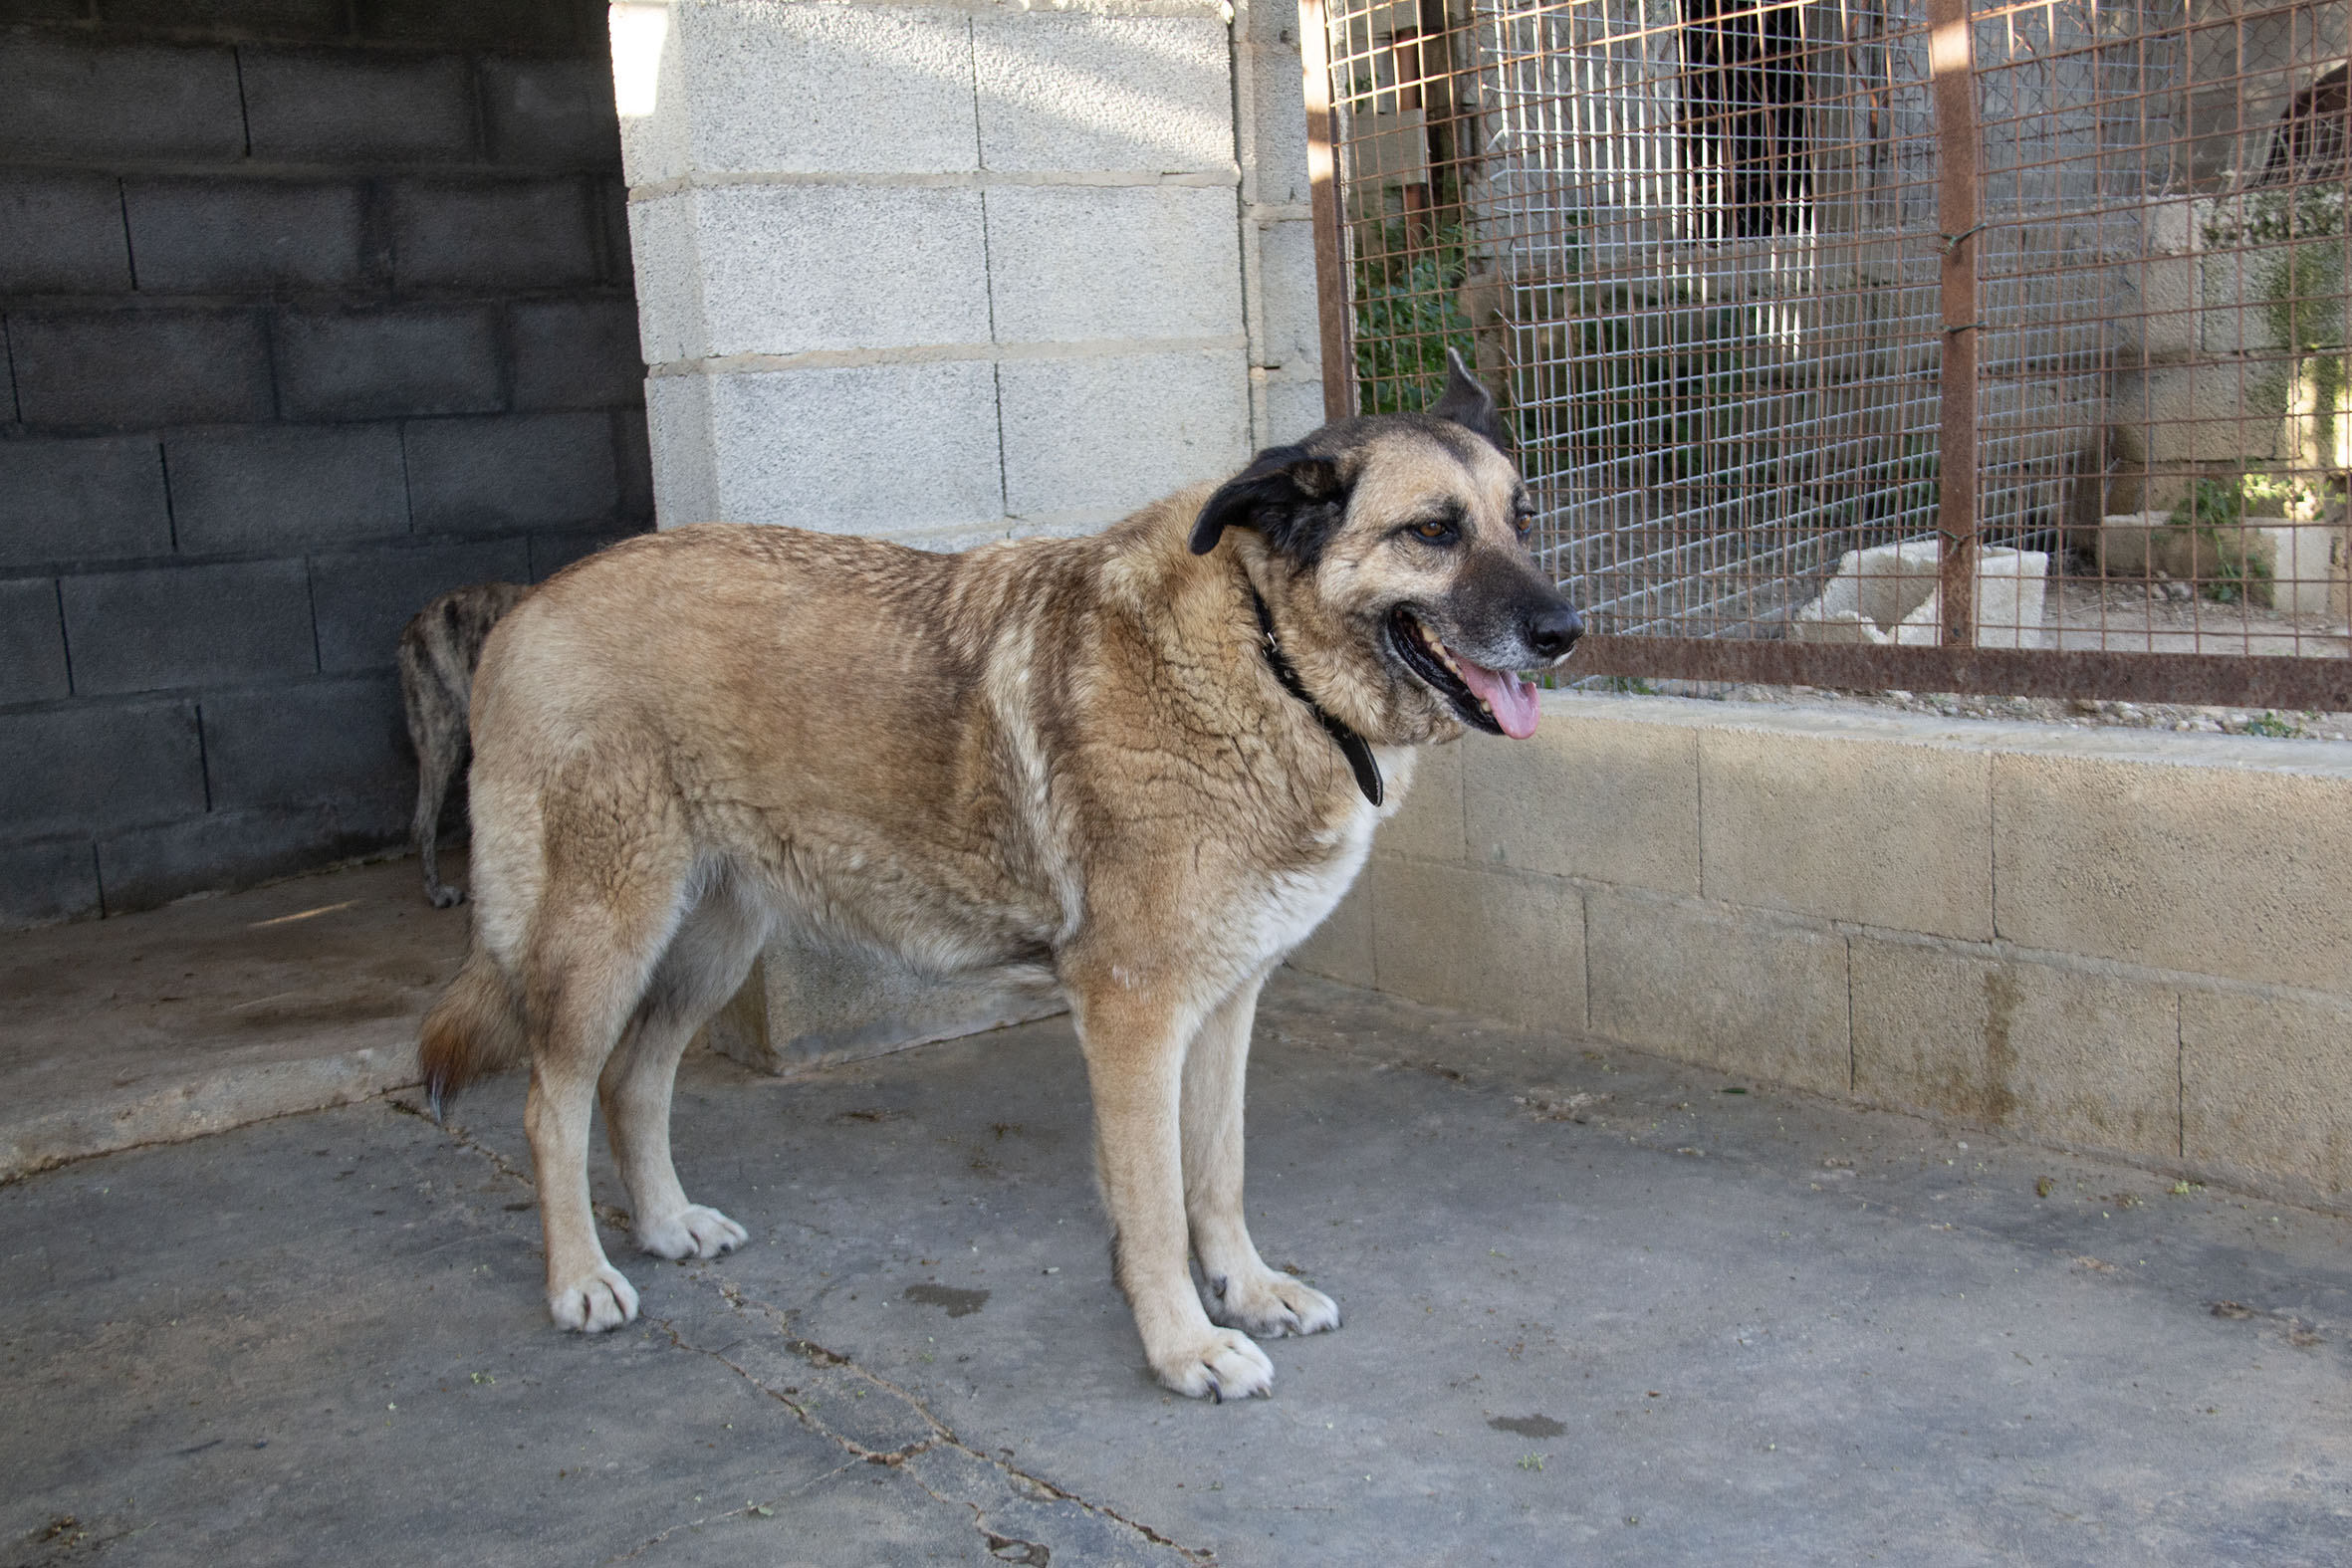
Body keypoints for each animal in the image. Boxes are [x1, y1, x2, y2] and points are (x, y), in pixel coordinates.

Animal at [418, 356, 1581, 1400]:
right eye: (1431, 531)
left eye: (1521, 519)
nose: (1567, 632)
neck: (1267, 655)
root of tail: (532, 604)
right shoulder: (1135, 1017)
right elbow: (1154, 1200)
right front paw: (1184, 1346)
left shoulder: (1226, 1002)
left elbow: (1219, 1170)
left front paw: (1247, 1291)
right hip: (604, 936)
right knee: (551, 1102)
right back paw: (581, 1278)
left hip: (710, 942)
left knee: (634, 1079)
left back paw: (665, 1225)